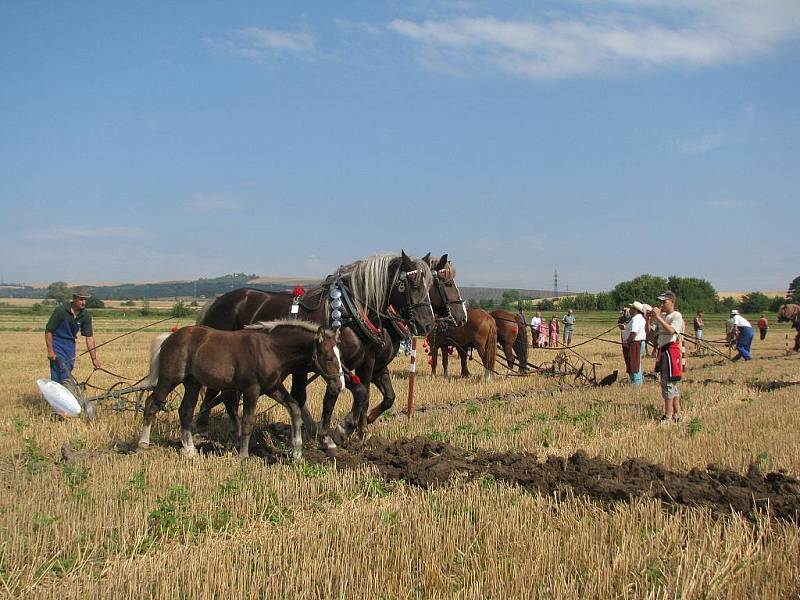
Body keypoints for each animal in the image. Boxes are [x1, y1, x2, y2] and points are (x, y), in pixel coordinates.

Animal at [138, 324, 344, 460]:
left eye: (339, 355)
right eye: (329, 357)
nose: (339, 385)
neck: (271, 350)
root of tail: (169, 338)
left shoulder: (273, 388)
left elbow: (294, 408)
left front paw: (297, 453)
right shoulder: (251, 389)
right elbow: (247, 422)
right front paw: (243, 456)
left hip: (192, 384)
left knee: (185, 411)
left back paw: (190, 451)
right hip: (169, 380)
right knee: (151, 404)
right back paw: (143, 445)